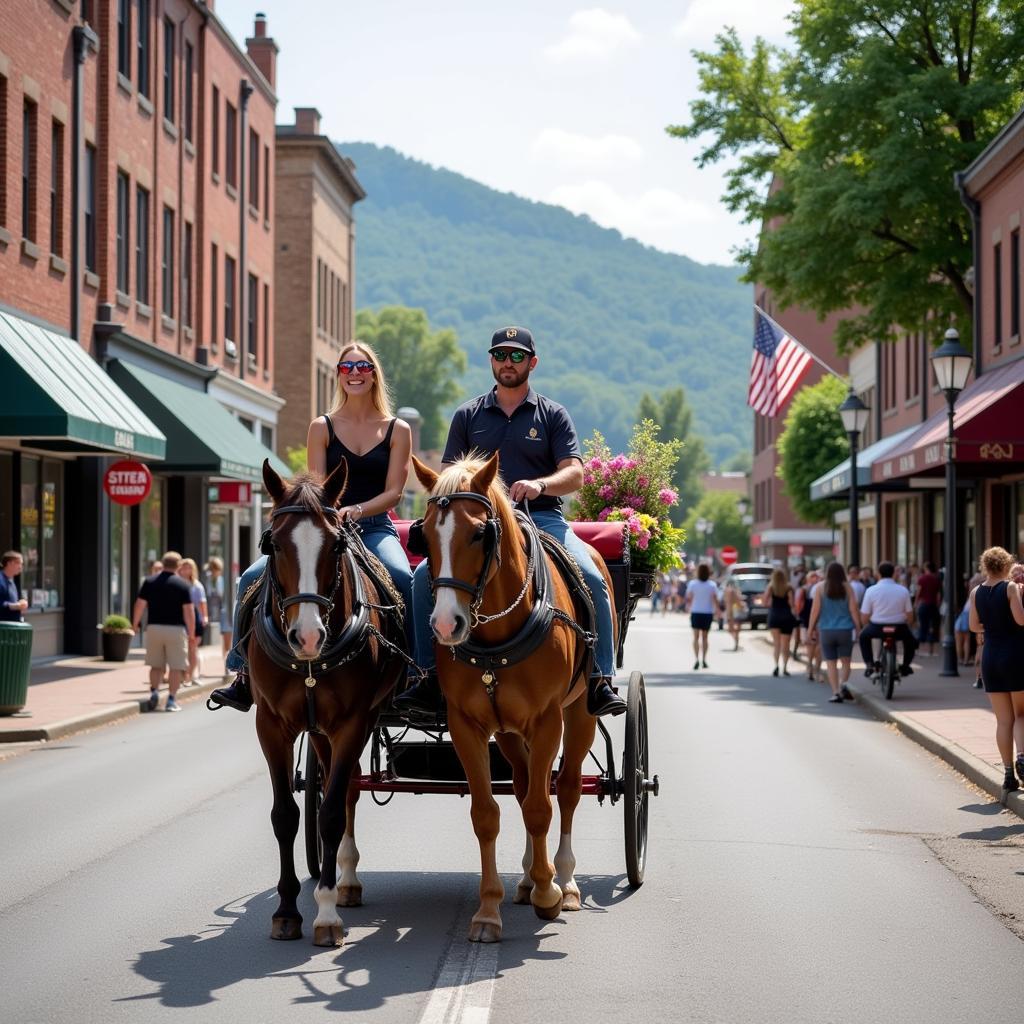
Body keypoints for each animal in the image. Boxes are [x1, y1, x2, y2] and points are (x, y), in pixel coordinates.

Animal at [249, 460, 405, 946]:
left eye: (336, 544)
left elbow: (332, 811)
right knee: (346, 786)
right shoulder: (271, 725)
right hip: (318, 732)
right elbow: (286, 814)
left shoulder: (354, 721)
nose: (307, 636)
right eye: (271, 543)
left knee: (347, 790)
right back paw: (344, 881)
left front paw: (326, 914)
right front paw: (286, 911)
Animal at [413, 452, 618, 937]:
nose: (446, 624)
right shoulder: (468, 725)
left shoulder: (548, 720)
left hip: (579, 714)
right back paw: (528, 878)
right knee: (525, 788)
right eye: (424, 534)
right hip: (508, 732)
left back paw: (566, 882)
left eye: (478, 533)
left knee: (566, 790)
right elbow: (489, 813)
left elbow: (544, 807)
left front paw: (550, 894)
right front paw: (490, 909)